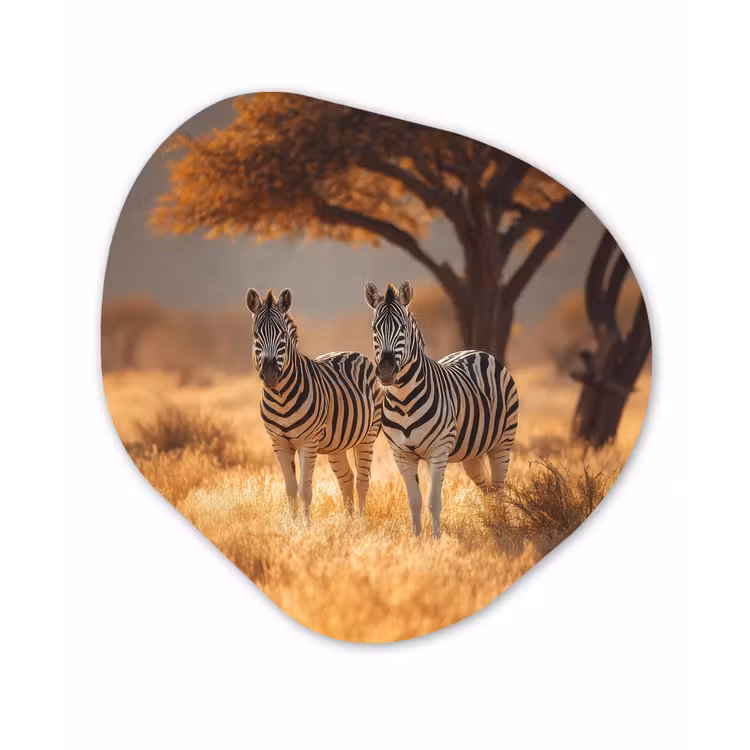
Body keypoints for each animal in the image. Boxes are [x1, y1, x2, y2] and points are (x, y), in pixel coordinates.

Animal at [247, 287, 382, 521]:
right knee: (346, 478)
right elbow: (290, 488)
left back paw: (360, 522)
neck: (281, 399)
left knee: (362, 481)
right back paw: (348, 522)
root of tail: (353, 352)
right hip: (337, 443)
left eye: (283, 335)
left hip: (368, 435)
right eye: (256, 334)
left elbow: (305, 489)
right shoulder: (278, 443)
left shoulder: (307, 442)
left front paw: (306, 525)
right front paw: (292, 524)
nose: (271, 374)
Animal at [364, 281, 519, 538]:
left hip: (502, 443)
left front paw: (436, 540)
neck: (404, 401)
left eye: (403, 328)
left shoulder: (438, 451)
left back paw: (503, 528)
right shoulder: (402, 455)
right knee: (487, 488)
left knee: (498, 489)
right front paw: (417, 539)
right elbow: (414, 501)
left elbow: (433, 502)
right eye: (375, 328)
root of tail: (478, 352)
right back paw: (493, 523)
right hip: (472, 453)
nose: (385, 371)